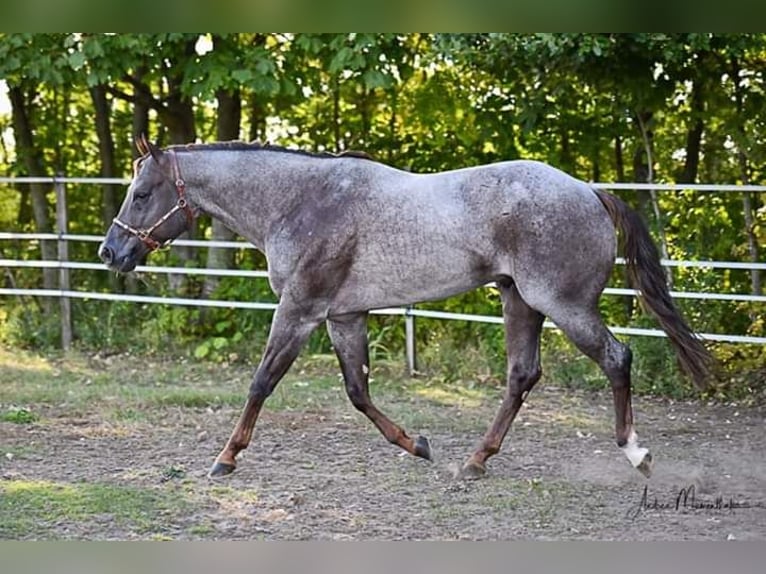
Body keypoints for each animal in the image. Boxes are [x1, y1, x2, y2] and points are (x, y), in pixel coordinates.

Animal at [97, 136, 712, 482]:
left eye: (142, 193)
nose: (111, 252)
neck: (301, 201)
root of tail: (589, 191)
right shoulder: (343, 317)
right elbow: (358, 391)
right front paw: (417, 445)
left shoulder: (300, 310)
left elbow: (261, 383)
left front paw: (225, 458)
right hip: (520, 302)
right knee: (522, 375)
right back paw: (474, 462)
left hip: (563, 305)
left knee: (616, 358)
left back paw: (636, 454)